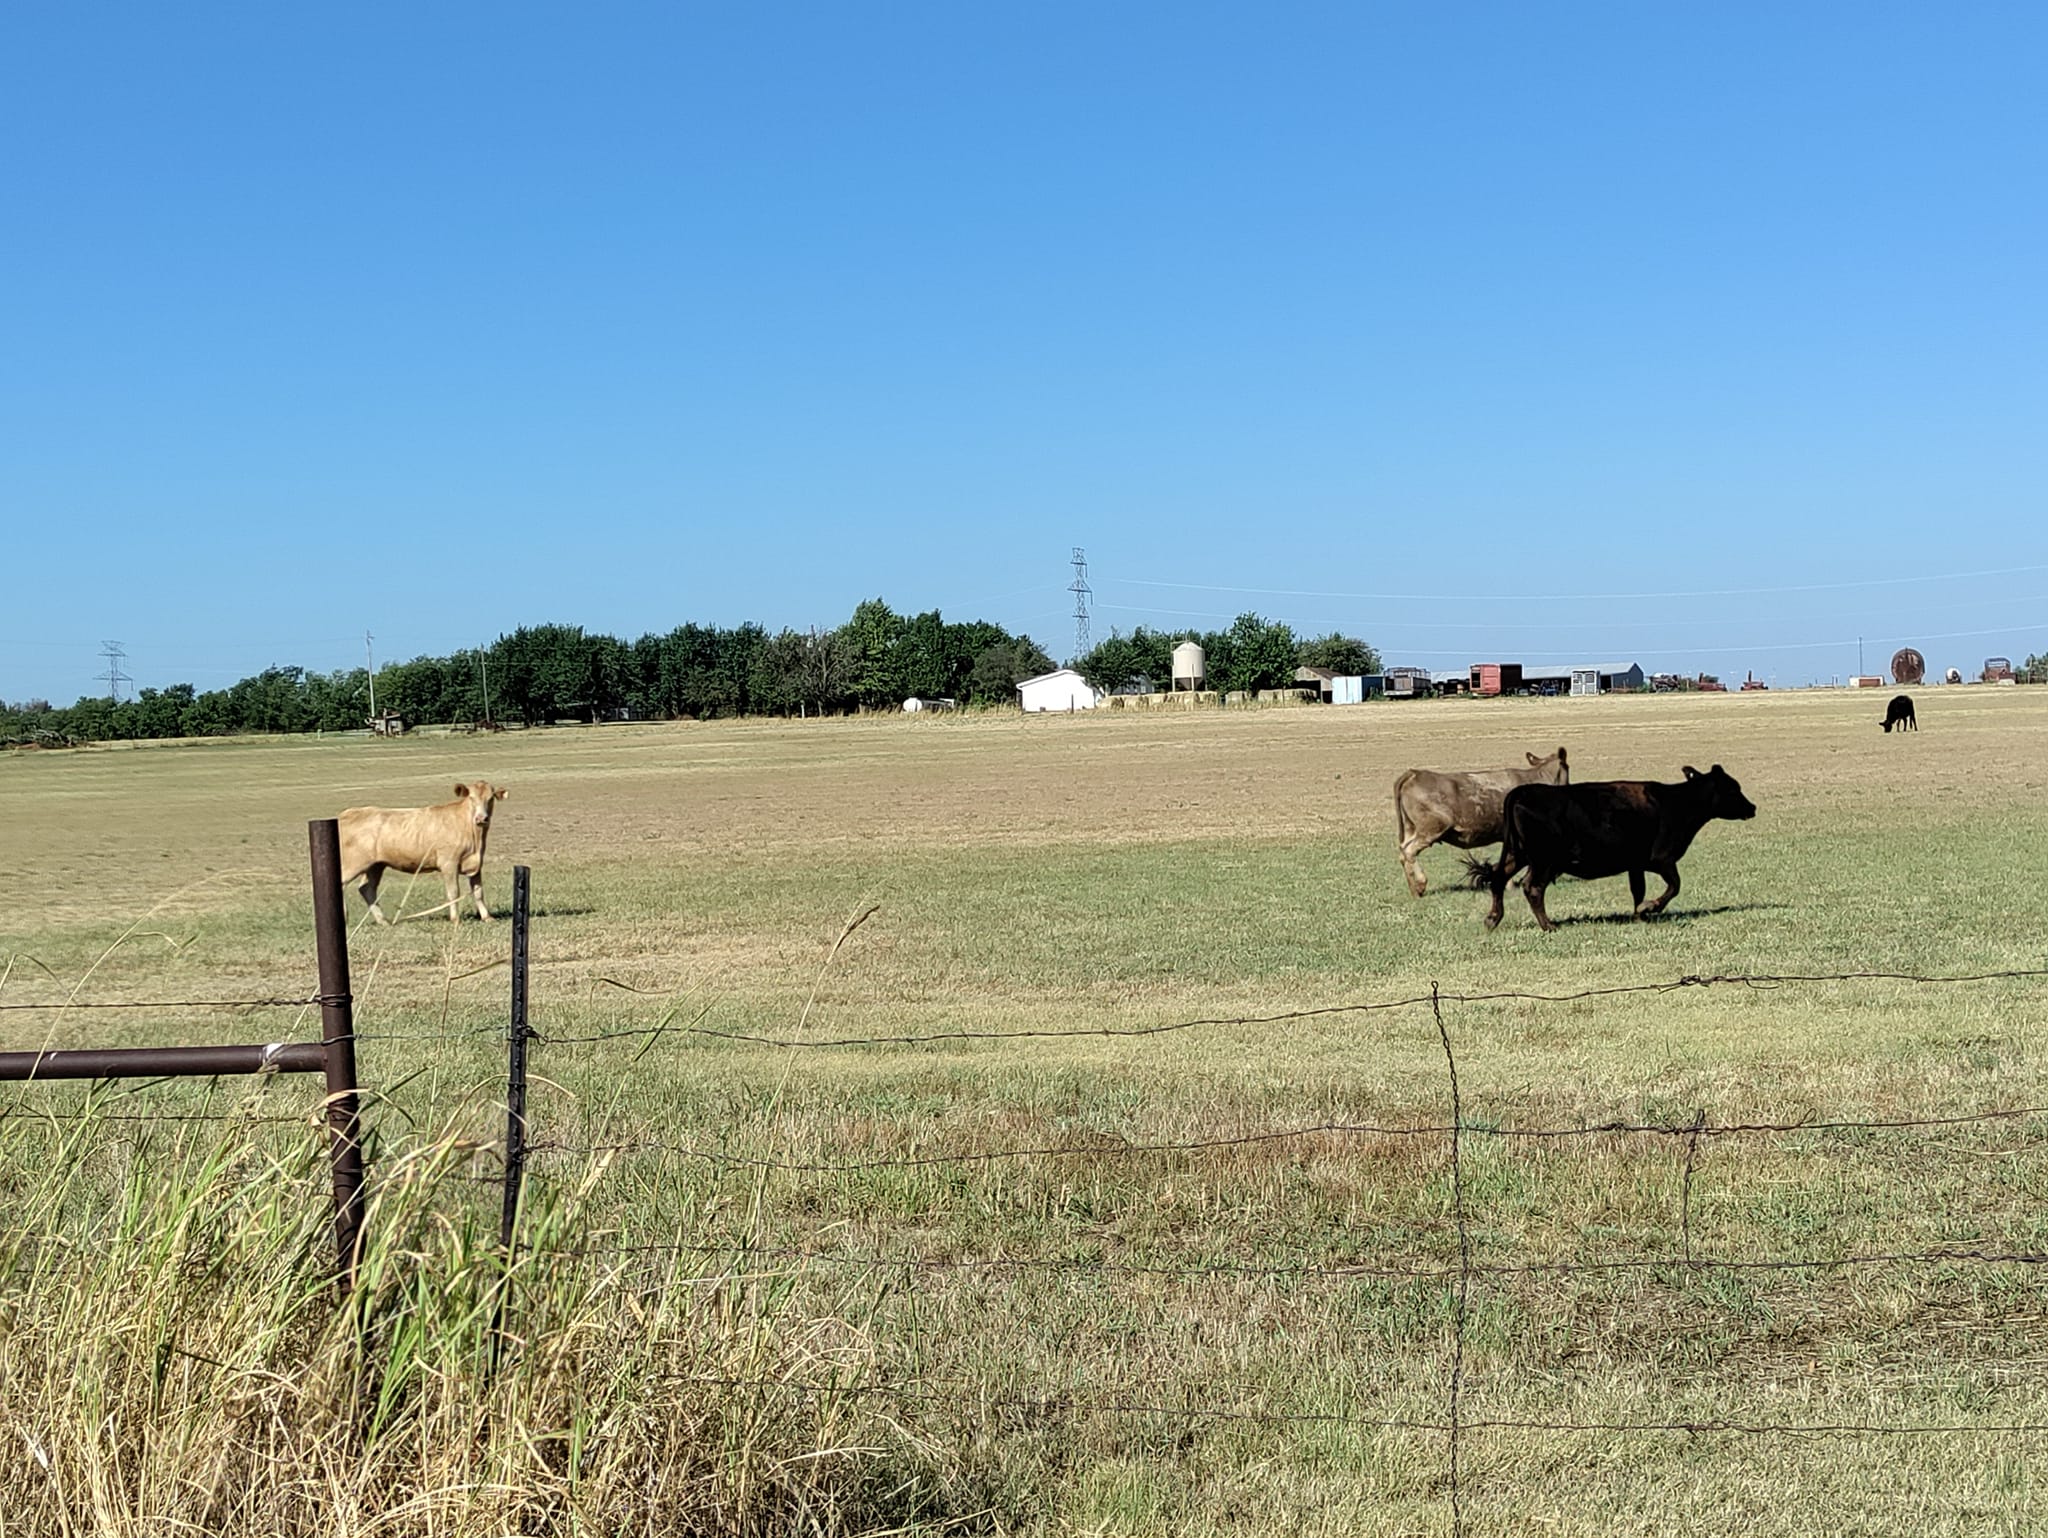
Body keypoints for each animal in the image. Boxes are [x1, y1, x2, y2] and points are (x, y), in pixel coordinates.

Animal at [339, 782, 507, 925]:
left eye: (490, 798)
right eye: (471, 797)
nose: (481, 818)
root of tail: (348, 813)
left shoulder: (476, 863)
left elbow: (478, 892)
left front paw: (487, 917)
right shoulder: (449, 863)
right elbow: (453, 892)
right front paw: (455, 920)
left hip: (376, 865)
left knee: (367, 888)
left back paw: (384, 922)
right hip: (353, 863)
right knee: (342, 883)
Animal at [1392, 749, 1564, 896]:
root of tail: (1415, 774)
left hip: (1411, 828)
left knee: (1403, 852)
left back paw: (1414, 890)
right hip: (1432, 828)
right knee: (1409, 851)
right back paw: (1420, 886)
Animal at [1474, 765, 1761, 933]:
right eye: (1733, 788)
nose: (1753, 807)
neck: (1678, 802)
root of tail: (1522, 792)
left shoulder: (1636, 864)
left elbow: (1638, 889)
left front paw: (1639, 914)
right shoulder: (1663, 858)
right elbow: (1674, 886)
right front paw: (1650, 907)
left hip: (1518, 853)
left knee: (1497, 879)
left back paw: (1492, 919)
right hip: (1543, 860)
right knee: (1532, 887)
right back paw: (1549, 925)